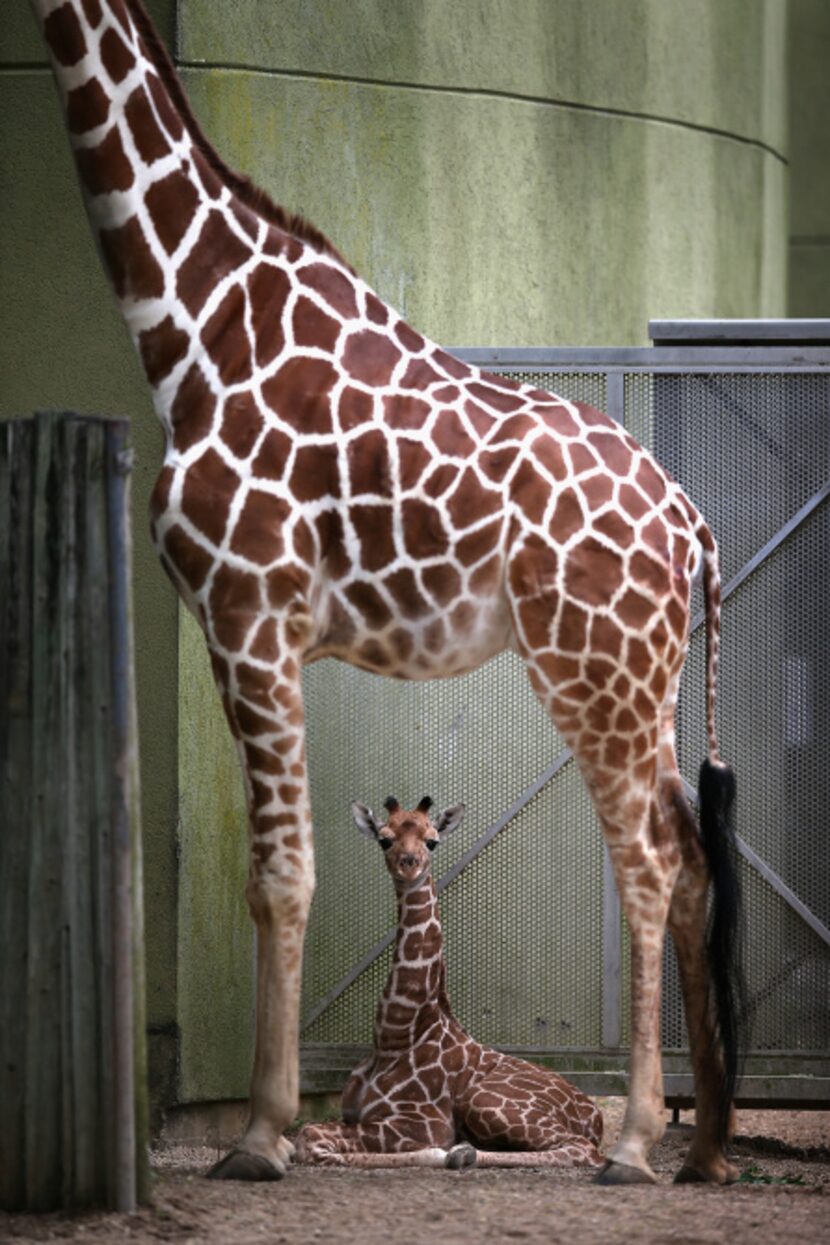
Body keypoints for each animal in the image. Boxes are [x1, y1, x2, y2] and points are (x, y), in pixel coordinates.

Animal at [293, 801, 604, 1170]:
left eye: (432, 841)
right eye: (384, 839)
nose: (408, 864)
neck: (395, 1035)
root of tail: (596, 1116)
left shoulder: (421, 1122)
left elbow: (310, 1136)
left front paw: (439, 1153)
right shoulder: (352, 1113)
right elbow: (308, 1135)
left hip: (482, 1101)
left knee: (584, 1149)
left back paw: (462, 1154)